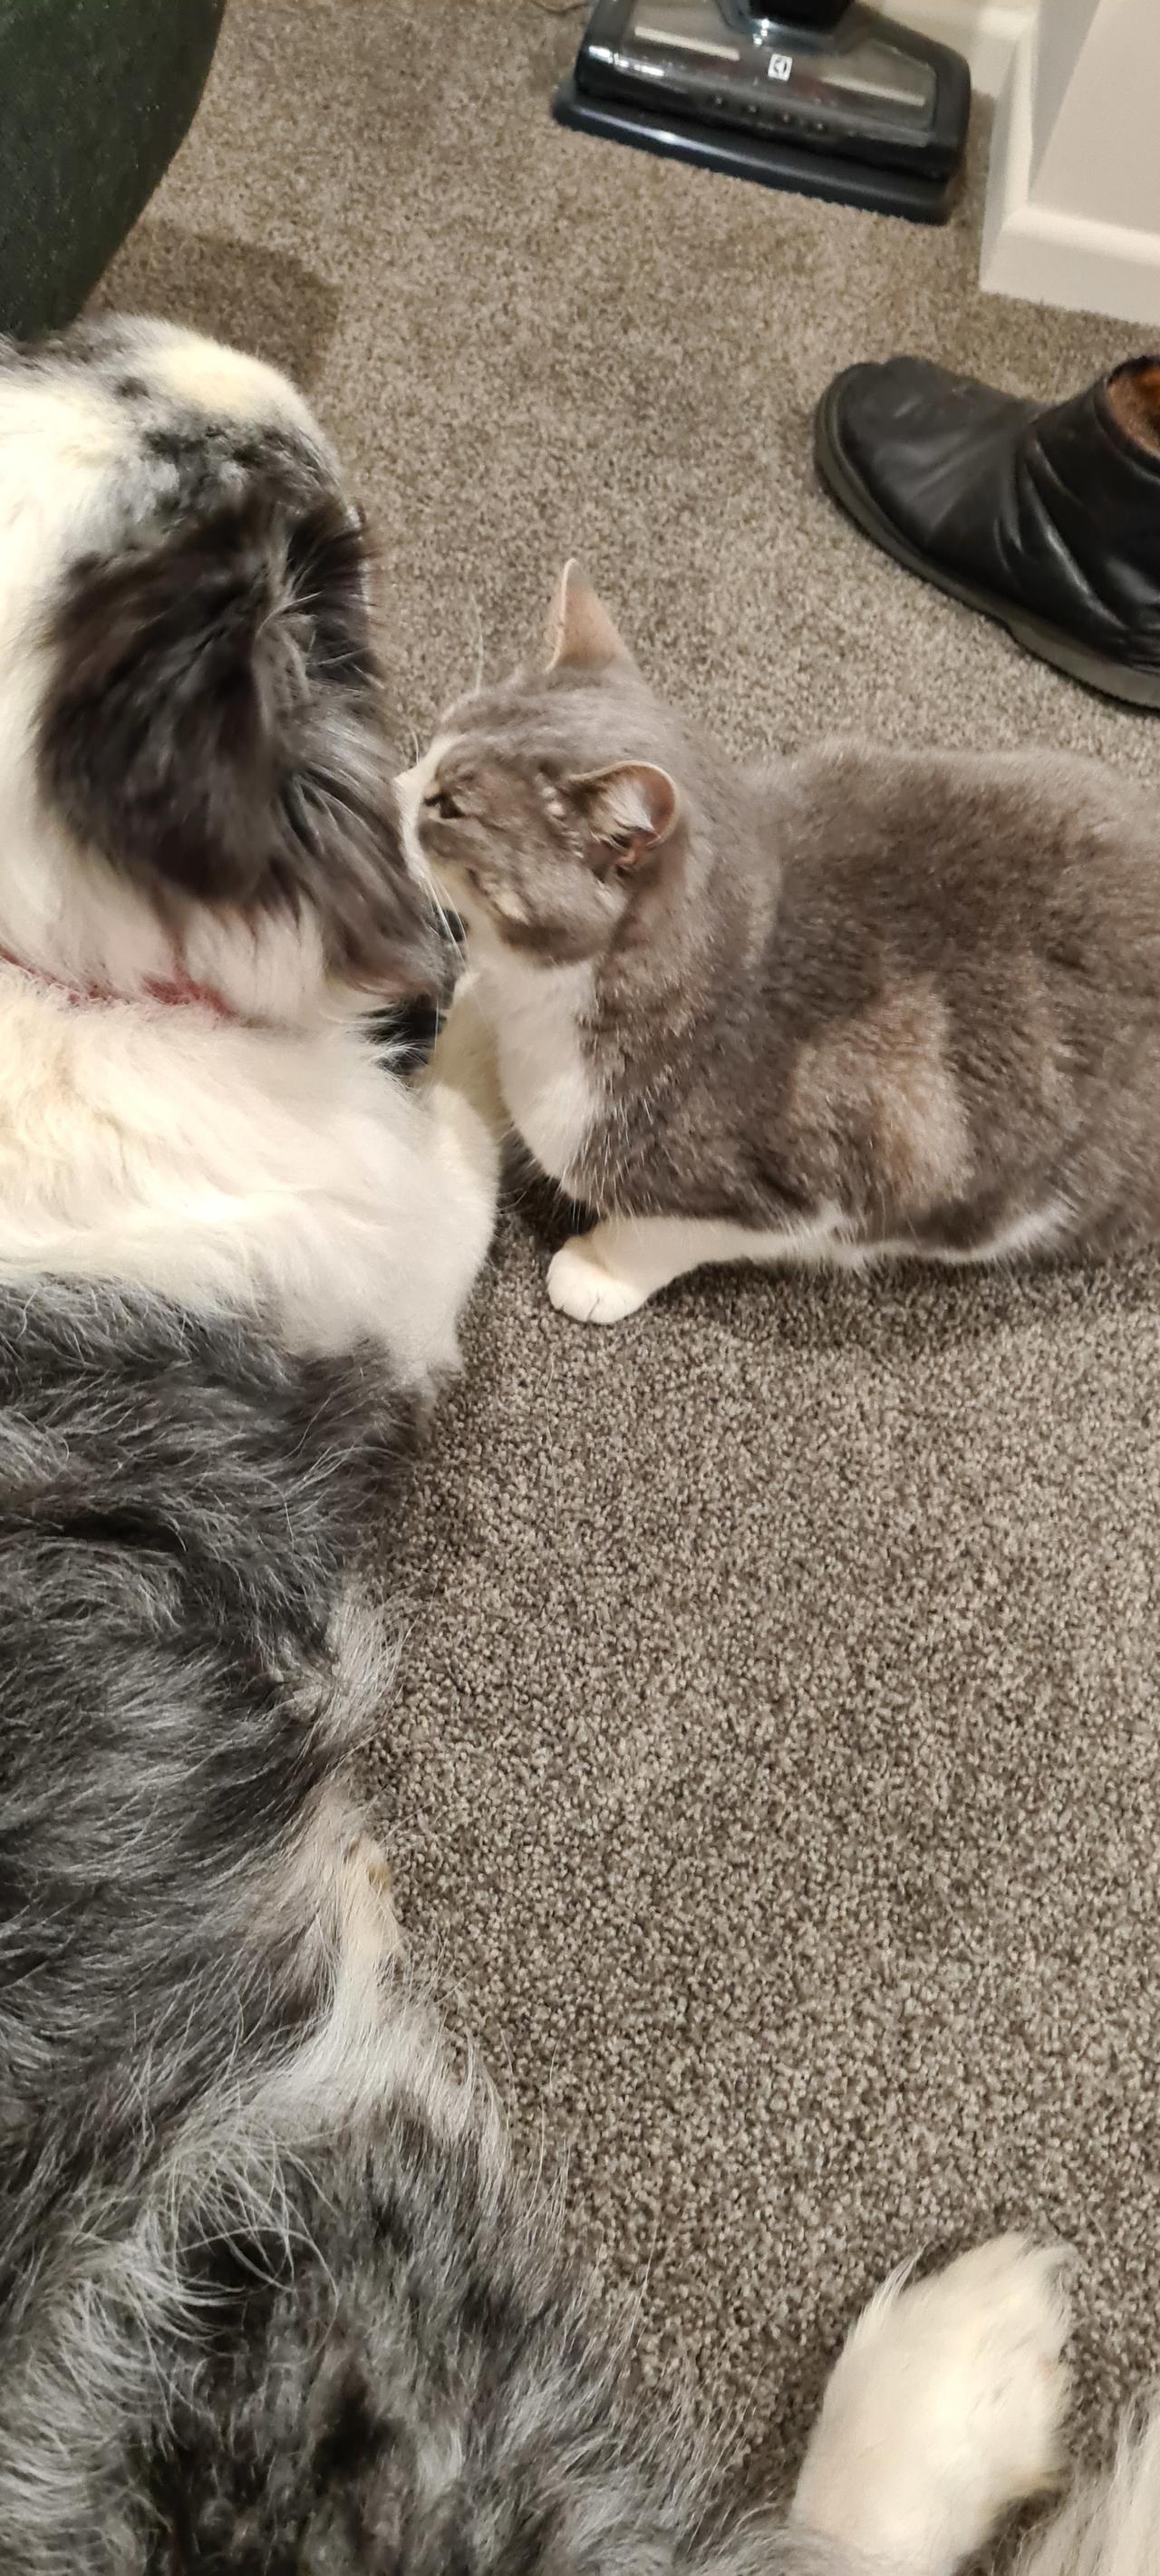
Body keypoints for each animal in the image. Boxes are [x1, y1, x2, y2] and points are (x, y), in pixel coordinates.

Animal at [400, 563, 1160, 1324]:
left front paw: (597, 1269)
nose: (385, 790)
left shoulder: (816, 1185)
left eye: (450, 806)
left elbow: (661, 1232)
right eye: (434, 740)